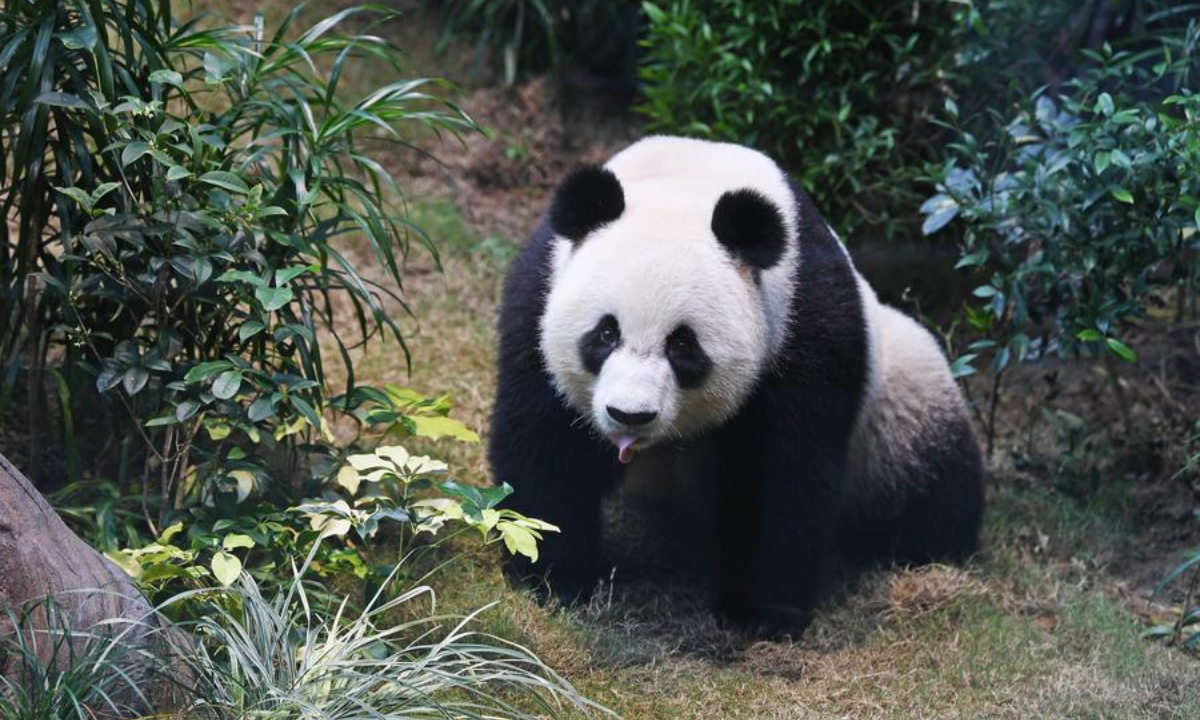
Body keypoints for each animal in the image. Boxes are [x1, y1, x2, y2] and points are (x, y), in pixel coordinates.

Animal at [487, 135, 984, 633]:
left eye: (682, 345)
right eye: (606, 333)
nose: (630, 415)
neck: (689, 180)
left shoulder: (805, 325)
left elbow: (778, 477)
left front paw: (760, 612)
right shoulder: (539, 297)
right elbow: (548, 446)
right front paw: (556, 578)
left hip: (896, 396)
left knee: (926, 475)